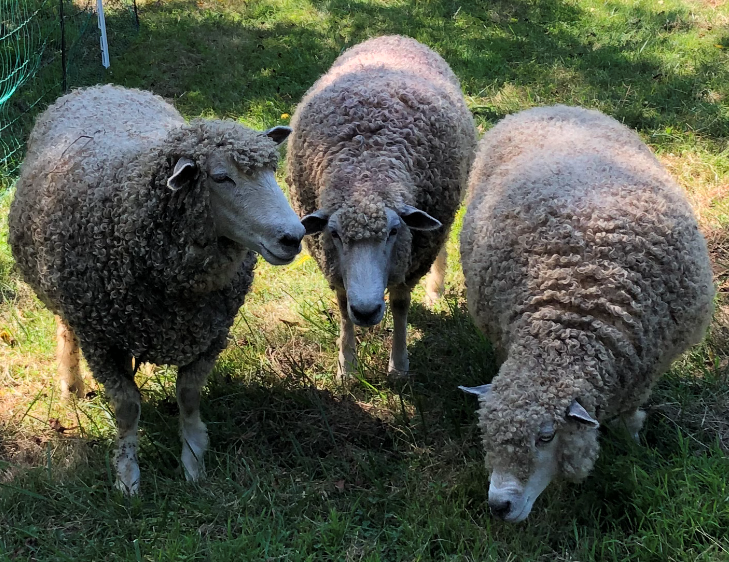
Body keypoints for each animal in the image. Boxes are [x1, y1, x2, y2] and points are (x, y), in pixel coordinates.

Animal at [8, 84, 305, 495]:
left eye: (272, 169)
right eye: (220, 177)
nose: (293, 237)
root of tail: (101, 88)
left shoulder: (210, 334)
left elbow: (189, 396)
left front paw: (194, 461)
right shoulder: (101, 339)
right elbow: (127, 407)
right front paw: (127, 476)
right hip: (71, 297)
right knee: (65, 328)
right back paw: (71, 387)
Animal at [287, 35, 477, 377]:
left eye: (393, 231)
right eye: (334, 234)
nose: (366, 311)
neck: (366, 173)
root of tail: (395, 36)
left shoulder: (412, 255)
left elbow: (400, 304)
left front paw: (399, 366)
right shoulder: (333, 263)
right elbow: (342, 306)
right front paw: (347, 366)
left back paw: (435, 292)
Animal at [458, 105, 715, 522]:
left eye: (546, 436)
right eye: (486, 432)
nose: (499, 506)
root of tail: (550, 106)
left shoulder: (647, 368)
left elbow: (630, 413)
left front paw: (632, 442)